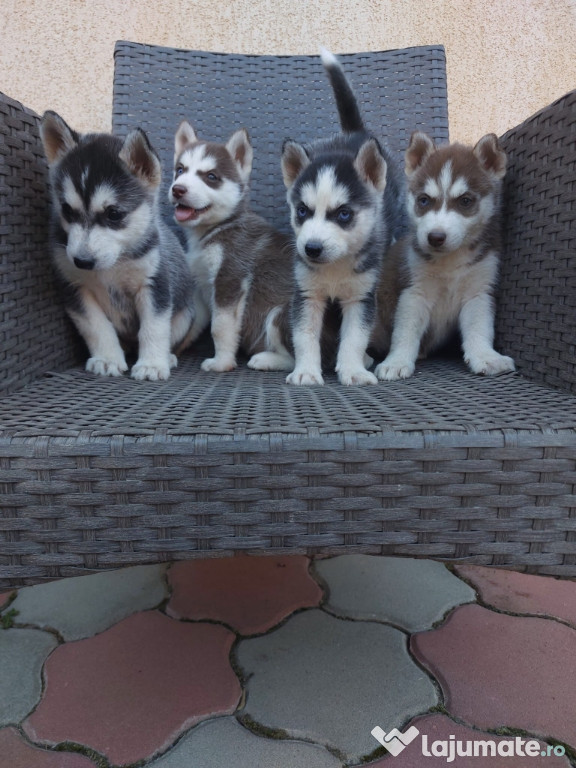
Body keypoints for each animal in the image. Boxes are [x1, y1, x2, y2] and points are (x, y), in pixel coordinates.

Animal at [40, 111, 196, 380]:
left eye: (114, 214)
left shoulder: (153, 284)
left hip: (186, 315)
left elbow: (154, 328)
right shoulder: (74, 287)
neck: (113, 266)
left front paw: (152, 364)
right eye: (67, 210)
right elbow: (96, 326)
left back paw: (167, 356)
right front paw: (107, 359)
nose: (82, 261)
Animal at [282, 48, 402, 384]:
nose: (311, 249)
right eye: (302, 211)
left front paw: (353, 369)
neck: (335, 266)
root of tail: (353, 134)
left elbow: (355, 337)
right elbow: (305, 335)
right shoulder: (307, 294)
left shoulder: (361, 298)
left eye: (344, 214)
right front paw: (306, 371)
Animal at [374, 135, 516, 384]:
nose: (435, 237)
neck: (450, 262)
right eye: (423, 200)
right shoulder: (414, 293)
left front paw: (486, 357)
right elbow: (405, 333)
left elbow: (479, 328)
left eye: (465, 201)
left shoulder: (478, 292)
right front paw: (397, 361)